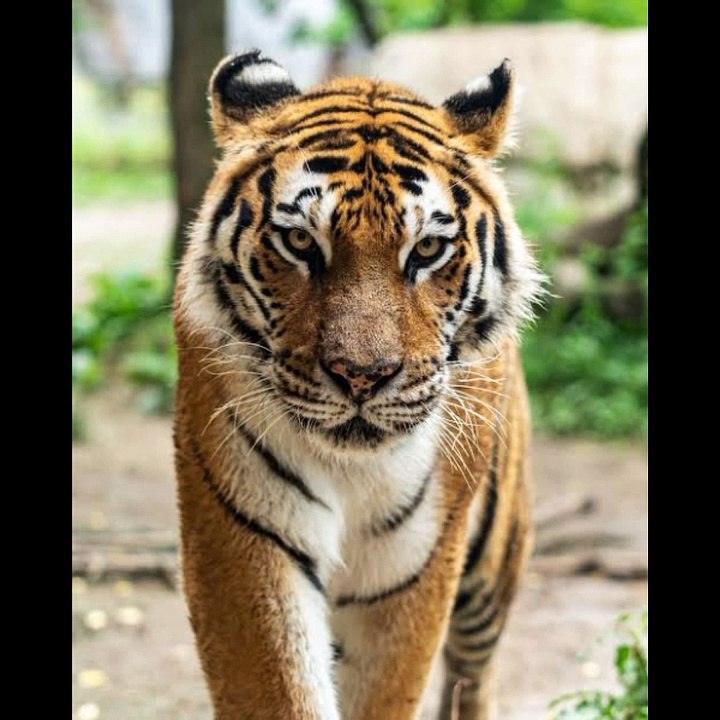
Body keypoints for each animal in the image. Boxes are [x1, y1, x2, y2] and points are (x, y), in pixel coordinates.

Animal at [173, 49, 545, 720]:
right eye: (300, 241)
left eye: (427, 249)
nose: (362, 376)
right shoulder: (245, 534)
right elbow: (278, 686)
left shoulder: (413, 563)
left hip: (493, 562)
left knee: (474, 673)